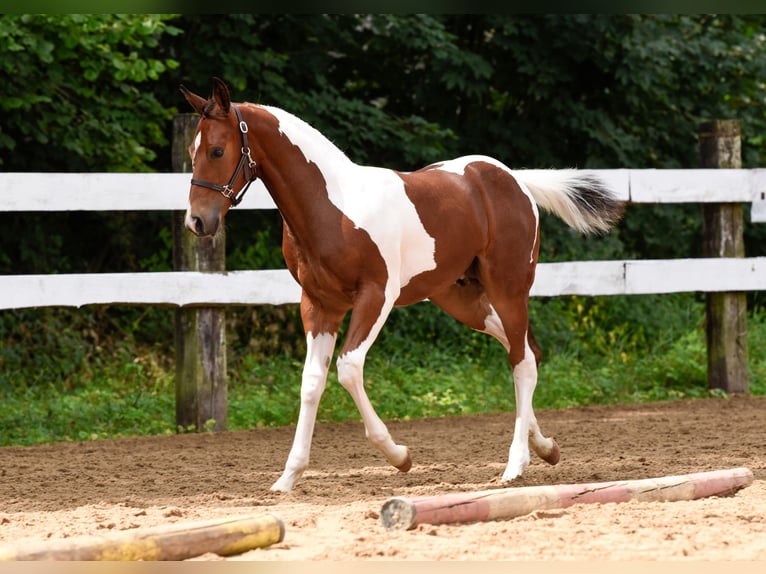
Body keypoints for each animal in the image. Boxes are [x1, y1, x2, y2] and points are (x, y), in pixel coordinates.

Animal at [183, 77, 628, 496]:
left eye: (218, 151)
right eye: (191, 150)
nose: (198, 222)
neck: (333, 207)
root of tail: (514, 180)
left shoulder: (376, 296)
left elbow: (348, 369)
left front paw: (400, 456)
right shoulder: (318, 305)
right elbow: (311, 383)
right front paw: (287, 478)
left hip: (509, 288)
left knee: (522, 360)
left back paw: (515, 465)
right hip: (461, 297)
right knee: (524, 350)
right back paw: (546, 447)